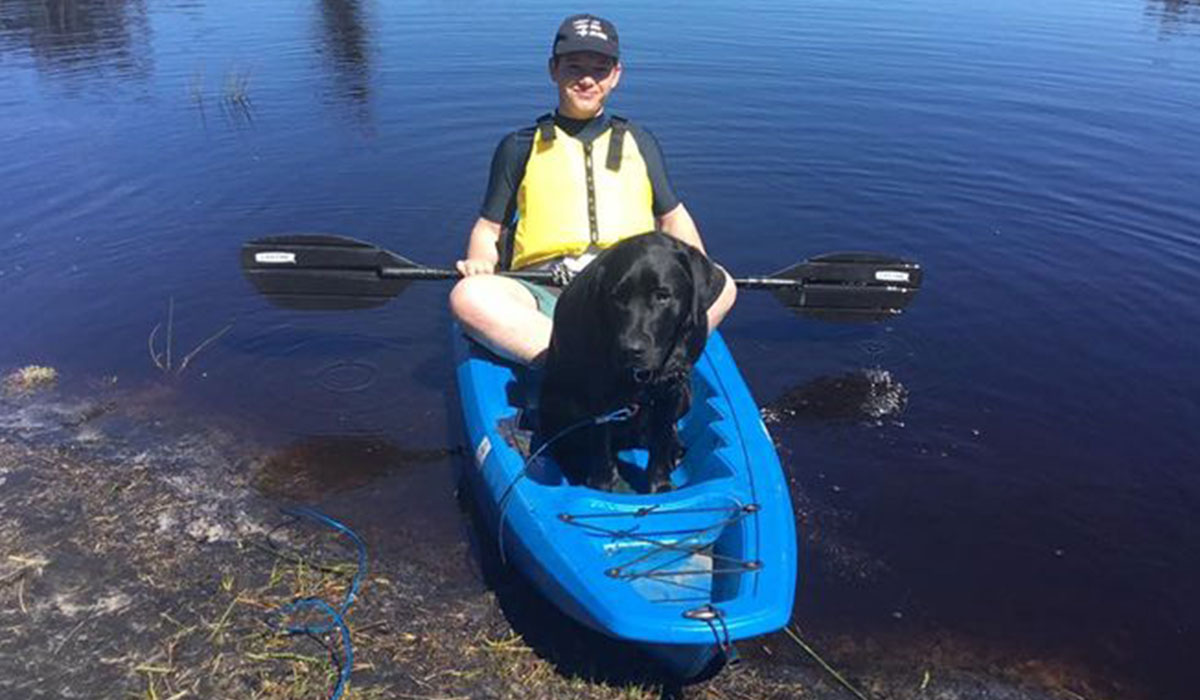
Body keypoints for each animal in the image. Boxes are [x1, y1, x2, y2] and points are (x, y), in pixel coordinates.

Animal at [540, 231, 724, 492]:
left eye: (662, 296)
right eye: (617, 296)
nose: (630, 349)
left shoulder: (671, 389)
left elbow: (661, 440)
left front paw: (661, 485)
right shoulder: (599, 394)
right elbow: (600, 444)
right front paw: (601, 484)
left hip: (686, 396)